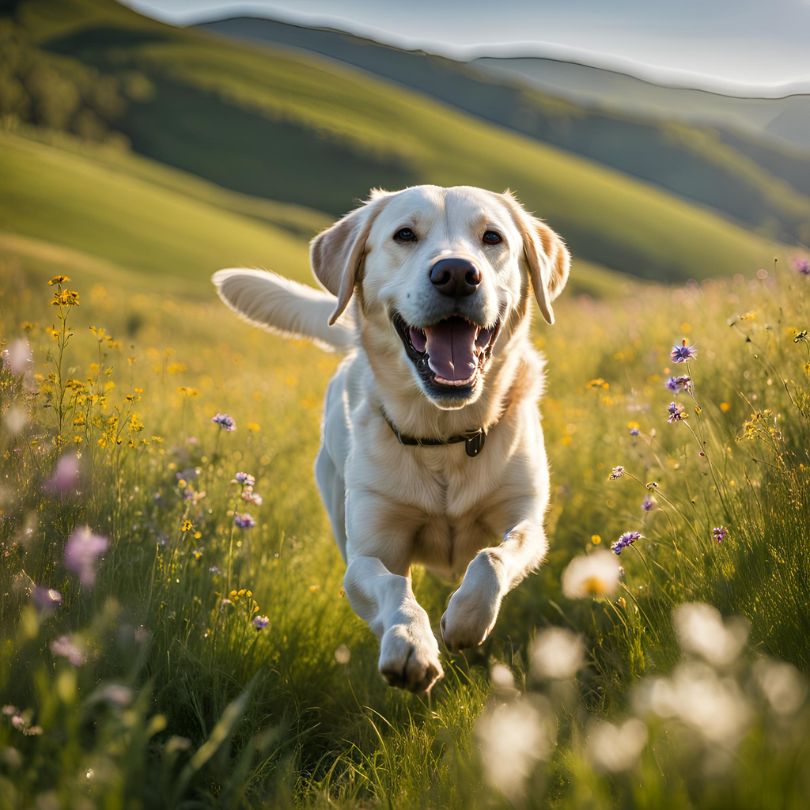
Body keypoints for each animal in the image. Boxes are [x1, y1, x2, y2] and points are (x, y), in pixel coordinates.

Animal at [215, 186, 568, 692]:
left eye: (492, 237)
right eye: (404, 235)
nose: (456, 274)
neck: (444, 433)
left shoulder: (527, 523)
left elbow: (491, 558)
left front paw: (465, 618)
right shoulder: (365, 556)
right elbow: (393, 585)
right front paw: (409, 642)